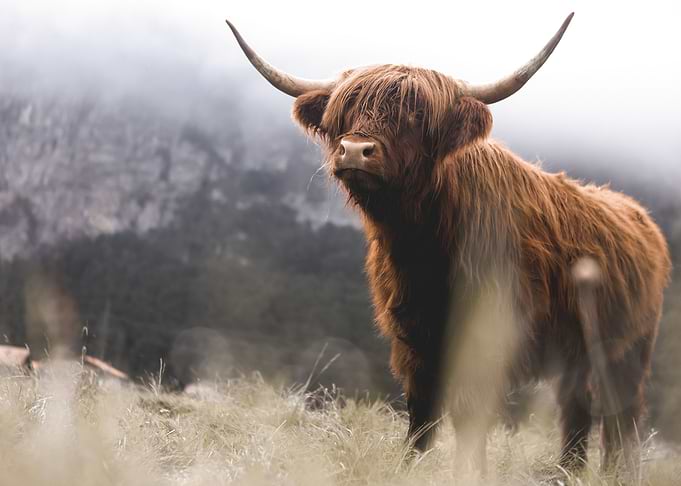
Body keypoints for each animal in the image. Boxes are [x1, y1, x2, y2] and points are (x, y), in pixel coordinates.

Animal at [226, 14, 671, 473]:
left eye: (415, 114)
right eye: (346, 110)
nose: (354, 150)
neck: (423, 245)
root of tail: (640, 217)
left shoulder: (486, 331)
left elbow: (469, 416)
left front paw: (470, 472)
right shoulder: (413, 337)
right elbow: (421, 415)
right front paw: (407, 468)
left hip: (628, 351)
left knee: (622, 416)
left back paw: (616, 472)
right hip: (577, 352)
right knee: (577, 407)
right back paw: (566, 472)